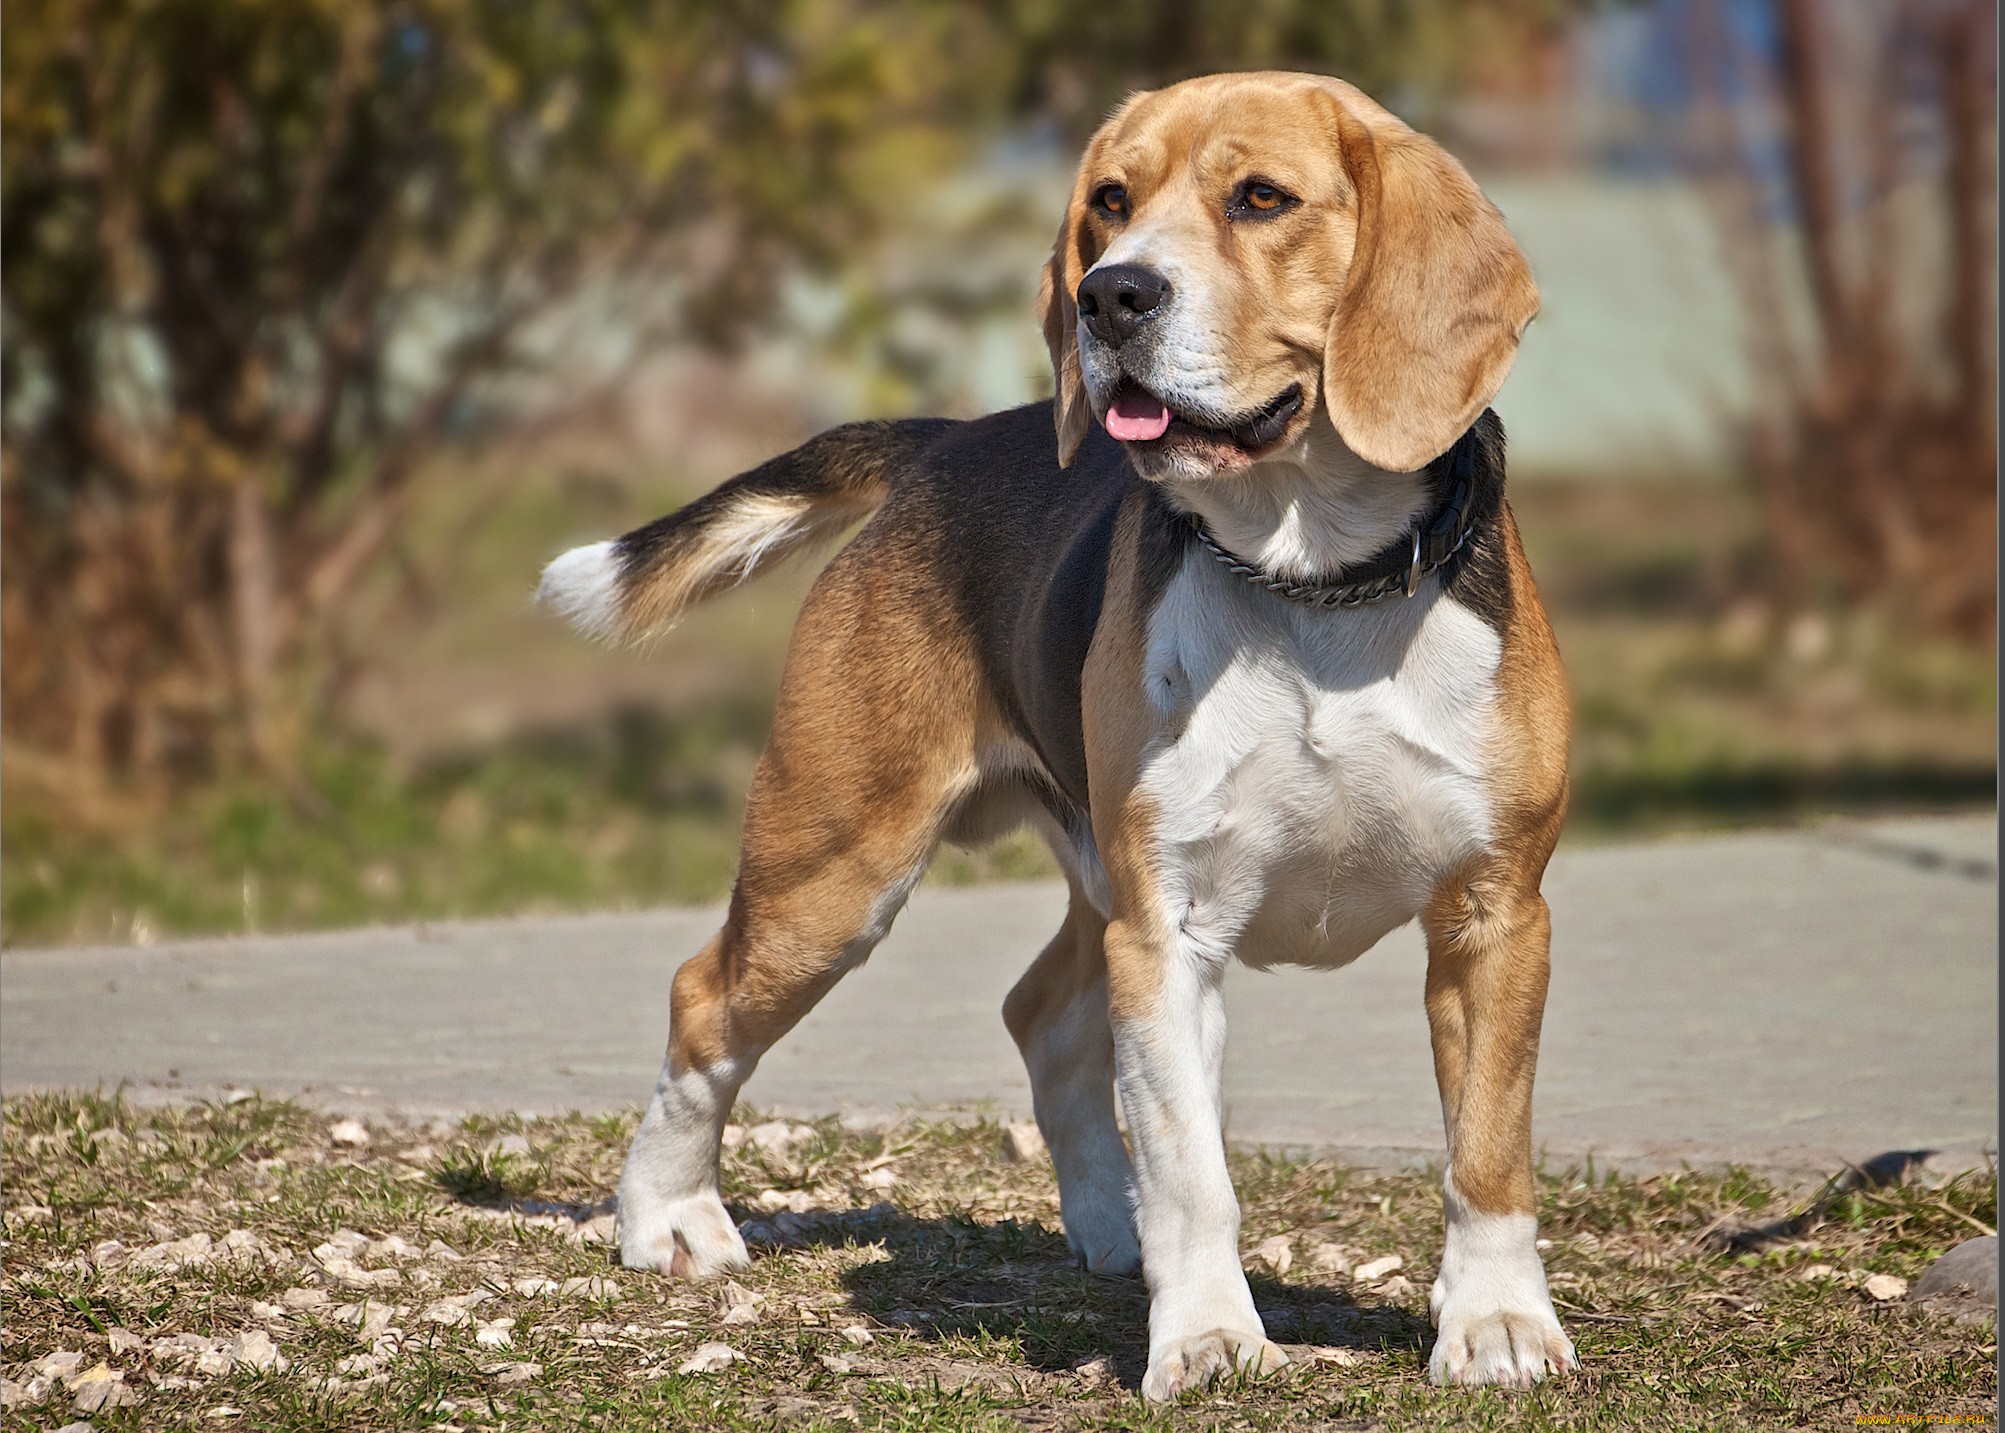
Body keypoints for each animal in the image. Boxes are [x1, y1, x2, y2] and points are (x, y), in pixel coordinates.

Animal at [541, 70, 1571, 1402]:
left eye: (1261, 199)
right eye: (1110, 204)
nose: (1111, 294)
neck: (1310, 579)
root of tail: (951, 440)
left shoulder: (1497, 914)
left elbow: (1486, 1150)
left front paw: (1494, 1322)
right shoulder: (1169, 927)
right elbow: (1193, 1169)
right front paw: (1210, 1337)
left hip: (1079, 878)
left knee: (1039, 1011)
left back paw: (1106, 1224)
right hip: (835, 876)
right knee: (703, 998)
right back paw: (666, 1215)